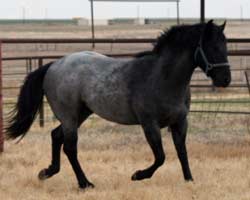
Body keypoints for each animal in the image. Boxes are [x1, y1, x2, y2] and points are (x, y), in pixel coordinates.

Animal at [5, 20, 230, 189]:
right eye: (212, 47)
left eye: (225, 47)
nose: (225, 80)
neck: (162, 78)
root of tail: (54, 65)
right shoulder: (149, 124)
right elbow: (160, 156)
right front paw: (138, 175)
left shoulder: (180, 122)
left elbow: (182, 152)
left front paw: (189, 180)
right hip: (69, 116)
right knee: (69, 147)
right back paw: (85, 183)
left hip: (81, 114)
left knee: (56, 136)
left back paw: (47, 172)